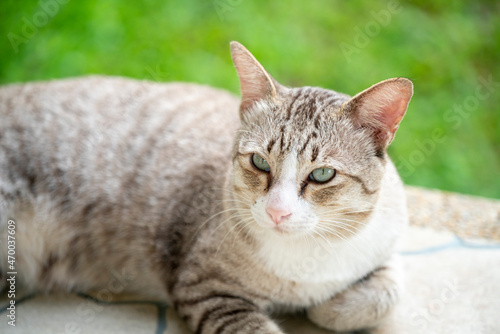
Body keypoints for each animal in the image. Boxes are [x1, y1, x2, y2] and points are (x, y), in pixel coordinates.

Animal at [0, 42, 412, 334]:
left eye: (323, 175)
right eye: (259, 163)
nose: (277, 212)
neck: (307, 257)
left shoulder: (381, 248)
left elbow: (387, 294)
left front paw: (326, 306)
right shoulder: (205, 290)